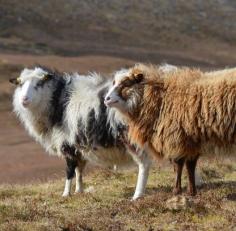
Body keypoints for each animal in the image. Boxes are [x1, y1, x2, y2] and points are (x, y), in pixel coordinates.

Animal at [105, 64, 236, 196]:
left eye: (126, 84)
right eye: (114, 82)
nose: (106, 99)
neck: (159, 97)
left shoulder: (176, 137)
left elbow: (179, 165)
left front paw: (177, 190)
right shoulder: (191, 139)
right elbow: (190, 165)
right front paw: (191, 191)